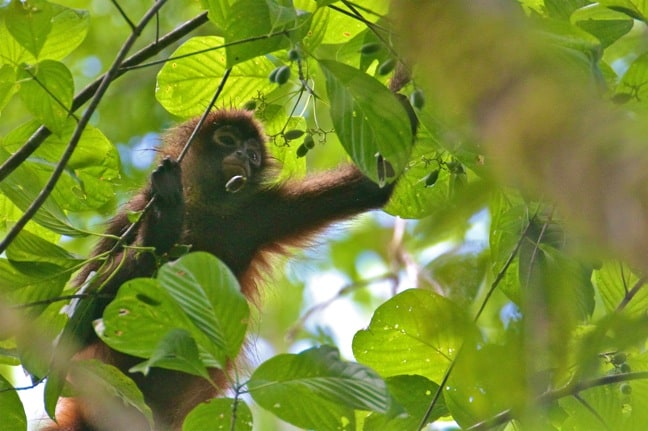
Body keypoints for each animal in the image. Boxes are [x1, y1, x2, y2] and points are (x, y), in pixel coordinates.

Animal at [43, 109, 410, 431]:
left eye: (254, 154)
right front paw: (164, 224)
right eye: (227, 139)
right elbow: (68, 330)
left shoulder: (258, 212)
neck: (205, 209)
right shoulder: (132, 212)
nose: (244, 155)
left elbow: (374, 184)